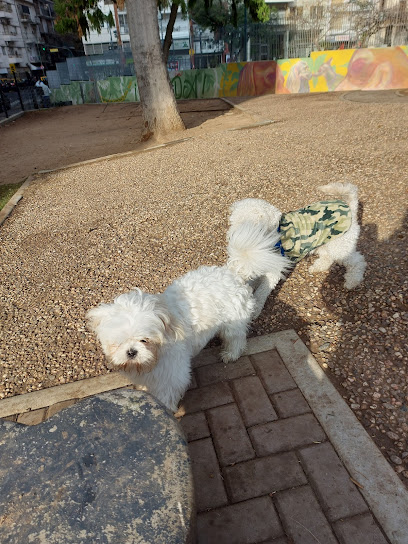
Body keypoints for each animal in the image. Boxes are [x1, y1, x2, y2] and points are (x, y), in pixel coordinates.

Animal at [86, 223, 290, 410]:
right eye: (118, 342)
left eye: (145, 340)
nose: (131, 352)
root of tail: (232, 272)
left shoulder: (171, 375)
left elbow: (166, 396)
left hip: (233, 325)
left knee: (237, 339)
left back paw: (230, 354)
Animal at [226, 183, 366, 318]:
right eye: (234, 222)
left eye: (255, 224)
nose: (235, 238)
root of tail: (350, 207)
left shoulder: (274, 271)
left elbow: (262, 291)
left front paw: (254, 310)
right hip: (323, 243)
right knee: (327, 258)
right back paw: (316, 268)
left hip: (341, 246)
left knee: (358, 261)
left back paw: (352, 281)